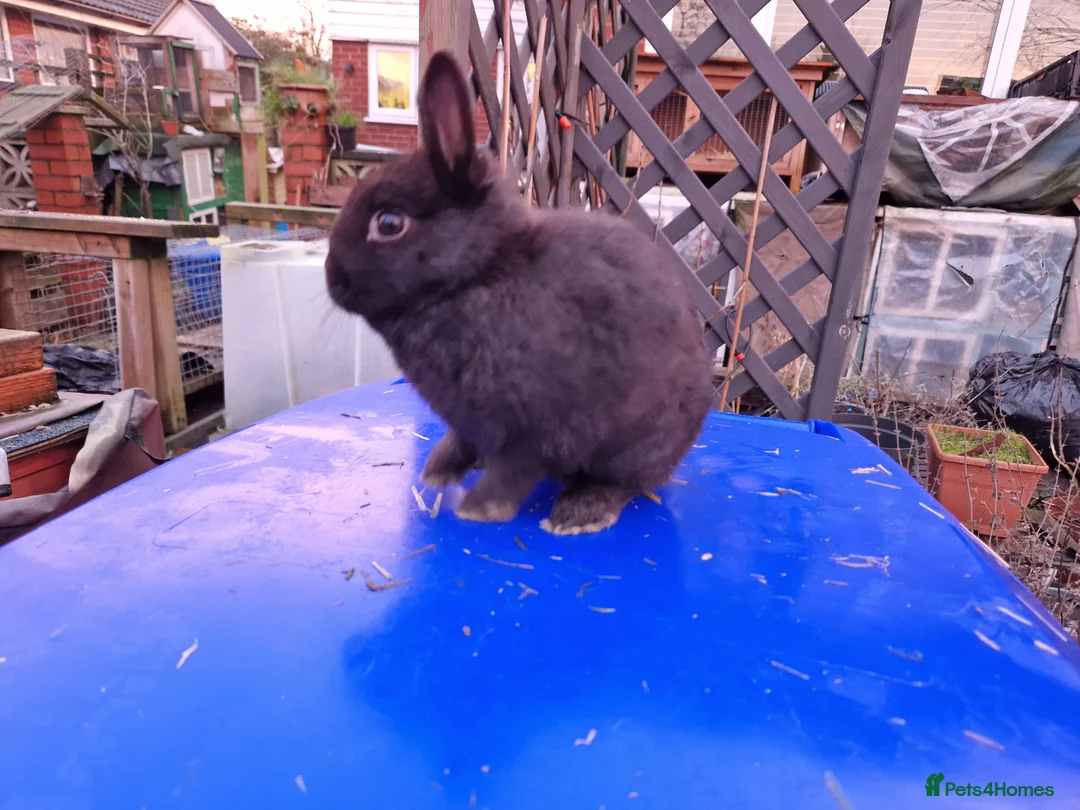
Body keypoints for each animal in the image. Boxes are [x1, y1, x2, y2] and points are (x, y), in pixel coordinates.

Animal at [325, 50, 713, 535]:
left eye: (390, 223)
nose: (332, 279)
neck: (476, 277)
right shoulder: (467, 423)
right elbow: (459, 444)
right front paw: (437, 473)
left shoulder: (536, 429)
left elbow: (513, 472)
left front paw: (478, 508)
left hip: (641, 443)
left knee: (624, 482)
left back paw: (578, 514)